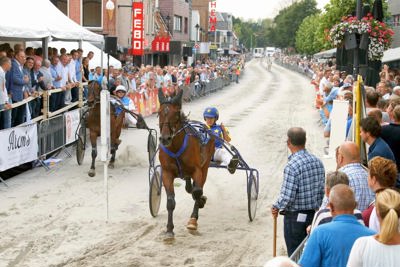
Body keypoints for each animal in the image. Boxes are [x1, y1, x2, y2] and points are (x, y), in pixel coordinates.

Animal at [158, 89, 216, 240]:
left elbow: (197, 192)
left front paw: (193, 219)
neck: (175, 148)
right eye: (159, 113)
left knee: (198, 187)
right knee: (190, 187)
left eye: (176, 113)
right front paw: (169, 230)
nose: (165, 138)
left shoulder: (197, 170)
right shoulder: (166, 173)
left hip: (205, 166)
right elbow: (170, 201)